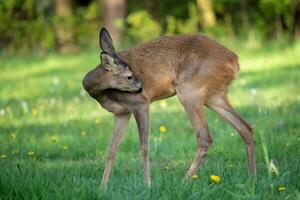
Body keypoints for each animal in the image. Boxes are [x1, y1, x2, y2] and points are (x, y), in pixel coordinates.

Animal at [82, 27, 255, 187]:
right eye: (129, 76)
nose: (141, 87)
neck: (101, 93)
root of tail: (234, 61)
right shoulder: (122, 112)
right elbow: (112, 149)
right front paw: (103, 186)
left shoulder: (140, 103)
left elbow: (144, 147)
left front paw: (147, 184)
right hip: (214, 96)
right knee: (245, 127)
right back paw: (252, 177)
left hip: (189, 90)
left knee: (205, 137)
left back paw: (184, 181)